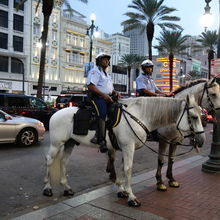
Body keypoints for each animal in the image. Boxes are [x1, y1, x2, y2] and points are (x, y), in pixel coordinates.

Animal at [43, 95, 206, 207]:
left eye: (201, 115)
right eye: (193, 117)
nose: (202, 140)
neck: (140, 116)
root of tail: (56, 112)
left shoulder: (125, 148)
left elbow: (122, 168)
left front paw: (122, 190)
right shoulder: (129, 147)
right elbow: (128, 169)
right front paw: (131, 197)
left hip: (70, 143)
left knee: (64, 161)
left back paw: (66, 187)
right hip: (56, 143)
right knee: (49, 160)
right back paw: (47, 188)